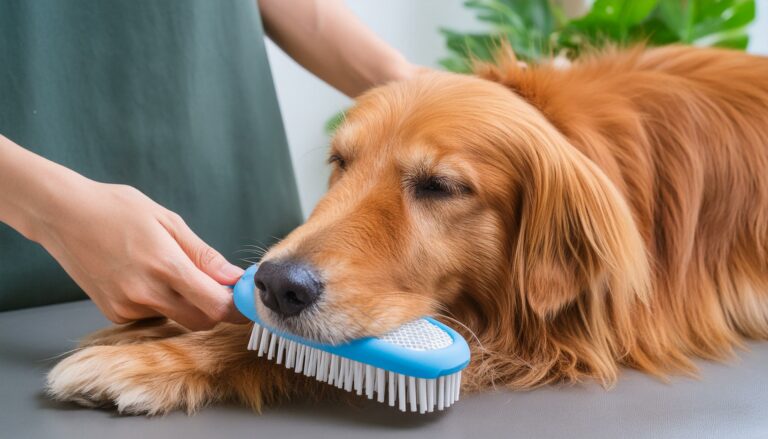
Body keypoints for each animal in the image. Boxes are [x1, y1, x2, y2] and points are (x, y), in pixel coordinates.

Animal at [48, 45, 768, 416]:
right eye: (340, 162)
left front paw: (143, 361)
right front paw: (151, 325)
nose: (278, 283)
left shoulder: (552, 337)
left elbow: (270, 348)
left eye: (439, 186)